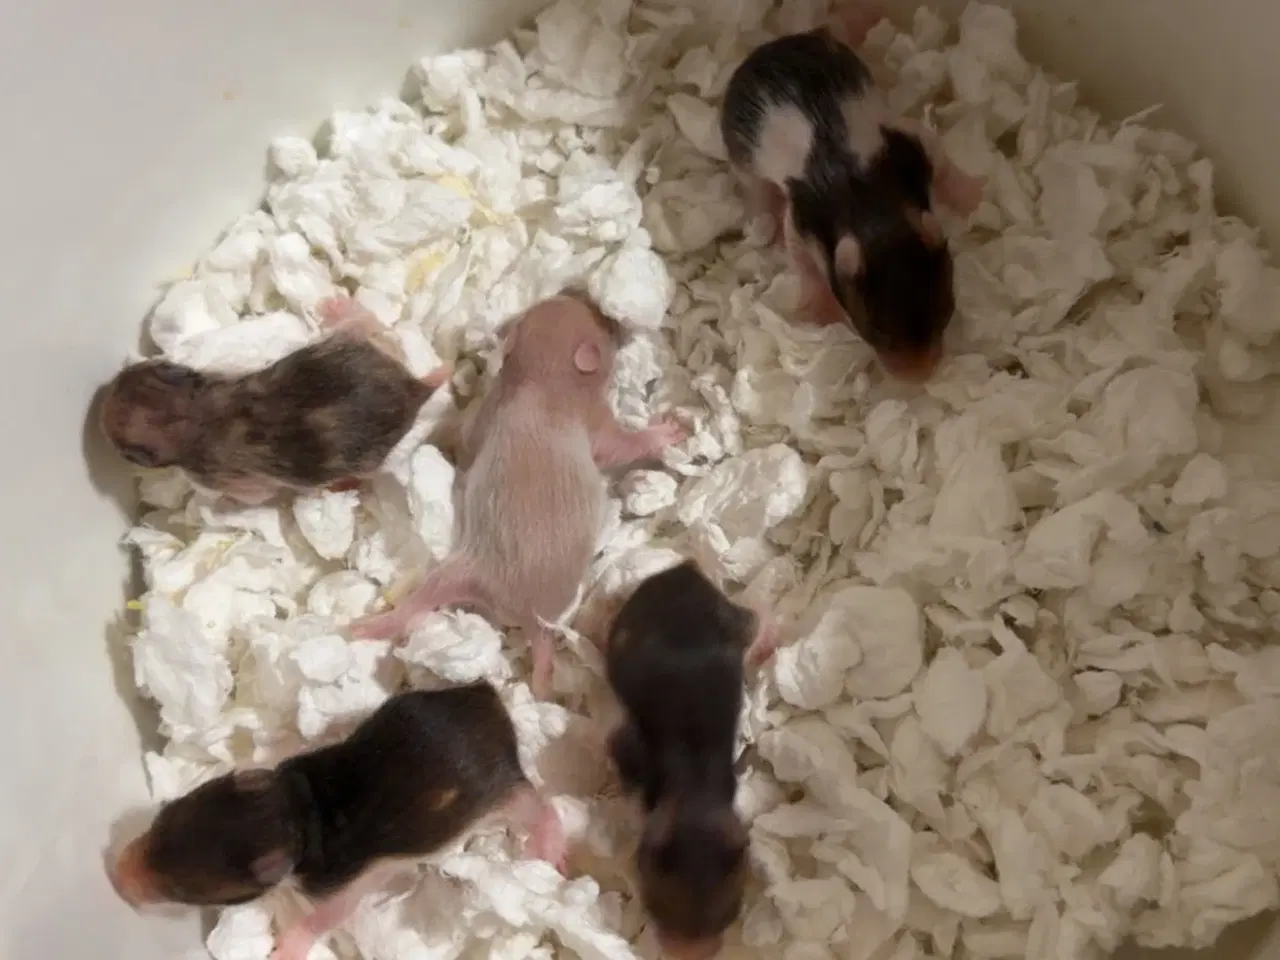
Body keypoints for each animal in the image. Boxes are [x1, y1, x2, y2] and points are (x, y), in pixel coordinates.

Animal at [98, 295, 451, 504]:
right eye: (139, 371)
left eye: (125, 450)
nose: (105, 393)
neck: (189, 413)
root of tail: (413, 387)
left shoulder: (219, 476)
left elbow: (254, 495)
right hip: (356, 346)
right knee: (367, 326)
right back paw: (341, 308)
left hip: (367, 461)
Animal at [107, 681, 564, 960]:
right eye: (164, 815)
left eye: (183, 891)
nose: (116, 874)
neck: (297, 813)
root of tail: (490, 700)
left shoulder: (343, 884)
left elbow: (329, 915)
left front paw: (289, 946)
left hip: (499, 796)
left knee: (537, 806)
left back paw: (549, 845)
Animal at [350, 290, 686, 699]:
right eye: (598, 325)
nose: (583, 297)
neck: (539, 381)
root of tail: (527, 614)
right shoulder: (592, 418)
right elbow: (617, 448)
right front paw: (662, 434)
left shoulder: (488, 411)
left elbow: (468, 442)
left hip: (457, 573)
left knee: (423, 599)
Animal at [604, 559, 777, 960]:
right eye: (656, 909)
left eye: (728, 915)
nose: (690, 952)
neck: (696, 788)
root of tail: (682, 570)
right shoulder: (630, 750)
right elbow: (617, 750)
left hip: (724, 618)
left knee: (750, 621)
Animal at [720, 2, 985, 382]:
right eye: (871, 330)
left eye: (946, 311)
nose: (919, 378)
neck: (872, 205)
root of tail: (774, 44)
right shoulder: (805, 216)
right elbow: (799, 251)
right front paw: (818, 306)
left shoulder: (908, 150)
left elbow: (937, 152)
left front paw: (968, 193)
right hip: (740, 148)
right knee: (754, 186)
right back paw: (763, 218)